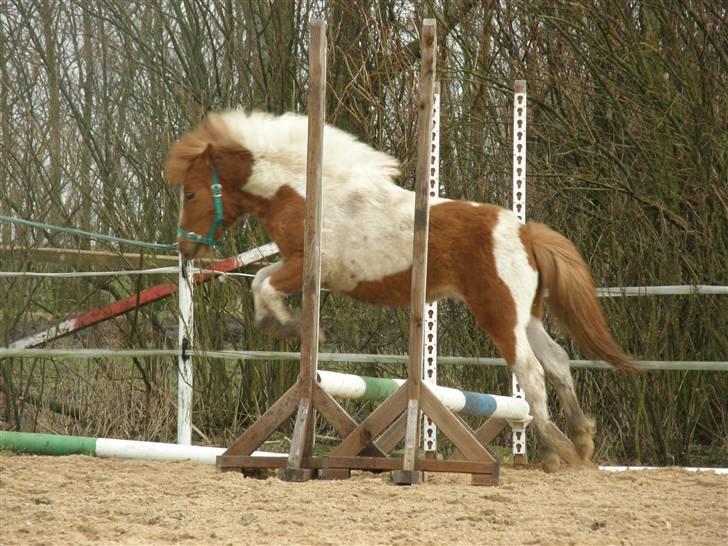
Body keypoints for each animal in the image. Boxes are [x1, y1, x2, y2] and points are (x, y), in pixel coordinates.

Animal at [166, 109, 636, 468]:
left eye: (191, 195)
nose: (185, 247)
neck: (303, 191)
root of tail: (524, 231)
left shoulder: (309, 266)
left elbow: (264, 284)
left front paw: (285, 323)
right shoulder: (295, 264)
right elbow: (262, 279)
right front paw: (279, 322)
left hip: (499, 314)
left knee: (532, 372)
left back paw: (555, 451)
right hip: (528, 316)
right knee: (556, 362)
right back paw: (580, 439)